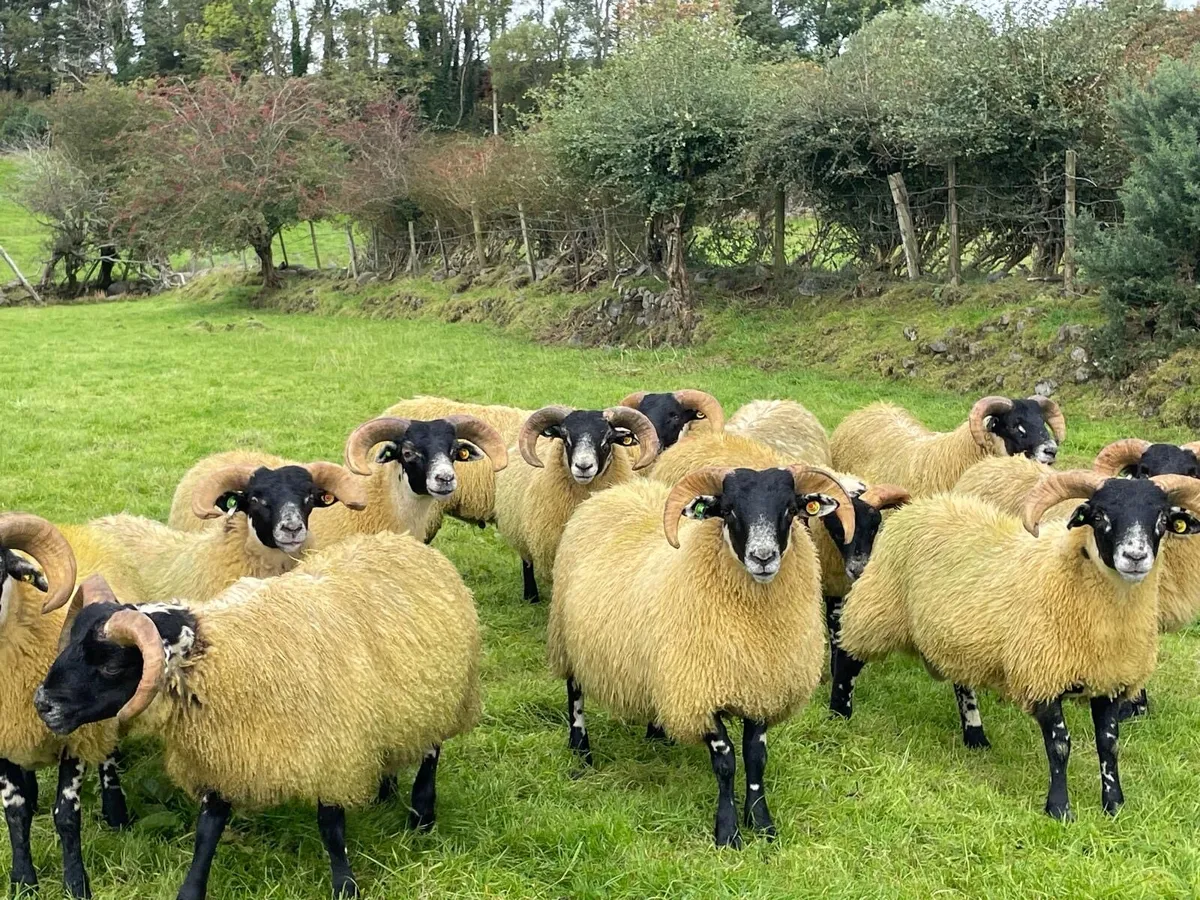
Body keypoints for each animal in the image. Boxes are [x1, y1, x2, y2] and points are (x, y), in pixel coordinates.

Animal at [0, 514, 128, 898]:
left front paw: (76, 884)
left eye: (0, 565)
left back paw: (116, 811)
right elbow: (15, 812)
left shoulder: (75, 733)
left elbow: (67, 816)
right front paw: (23, 881)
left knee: (109, 756)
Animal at [35, 529, 481, 900]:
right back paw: (384, 791)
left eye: (111, 665)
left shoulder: (330, 749)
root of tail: (407, 542)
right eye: (68, 645)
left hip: (443, 695)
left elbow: (331, 829)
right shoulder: (228, 751)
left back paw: (421, 817)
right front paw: (190, 890)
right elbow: (208, 830)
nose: (43, 703)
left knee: (431, 753)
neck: (227, 654)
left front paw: (345, 886)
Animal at [494, 405, 660, 602]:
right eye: (565, 439)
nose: (583, 466)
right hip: (519, 529)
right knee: (527, 562)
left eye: (607, 440)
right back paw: (531, 596)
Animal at [548, 465, 856, 847]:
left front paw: (762, 824)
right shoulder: (699, 693)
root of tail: (617, 491)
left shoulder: (761, 686)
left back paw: (658, 734)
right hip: (568, 637)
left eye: (790, 510)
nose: (763, 558)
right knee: (574, 692)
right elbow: (726, 762)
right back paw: (581, 749)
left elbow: (756, 758)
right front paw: (728, 832)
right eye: (729, 511)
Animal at [831, 471, 1200, 819]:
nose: (1135, 556)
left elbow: (1108, 745)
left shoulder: (1109, 681)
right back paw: (839, 714)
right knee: (847, 656)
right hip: (878, 607)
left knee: (962, 682)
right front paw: (1059, 810)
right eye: (1098, 515)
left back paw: (975, 736)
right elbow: (1060, 745)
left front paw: (1113, 806)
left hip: (958, 636)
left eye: (1163, 518)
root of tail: (923, 504)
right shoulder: (1042, 677)